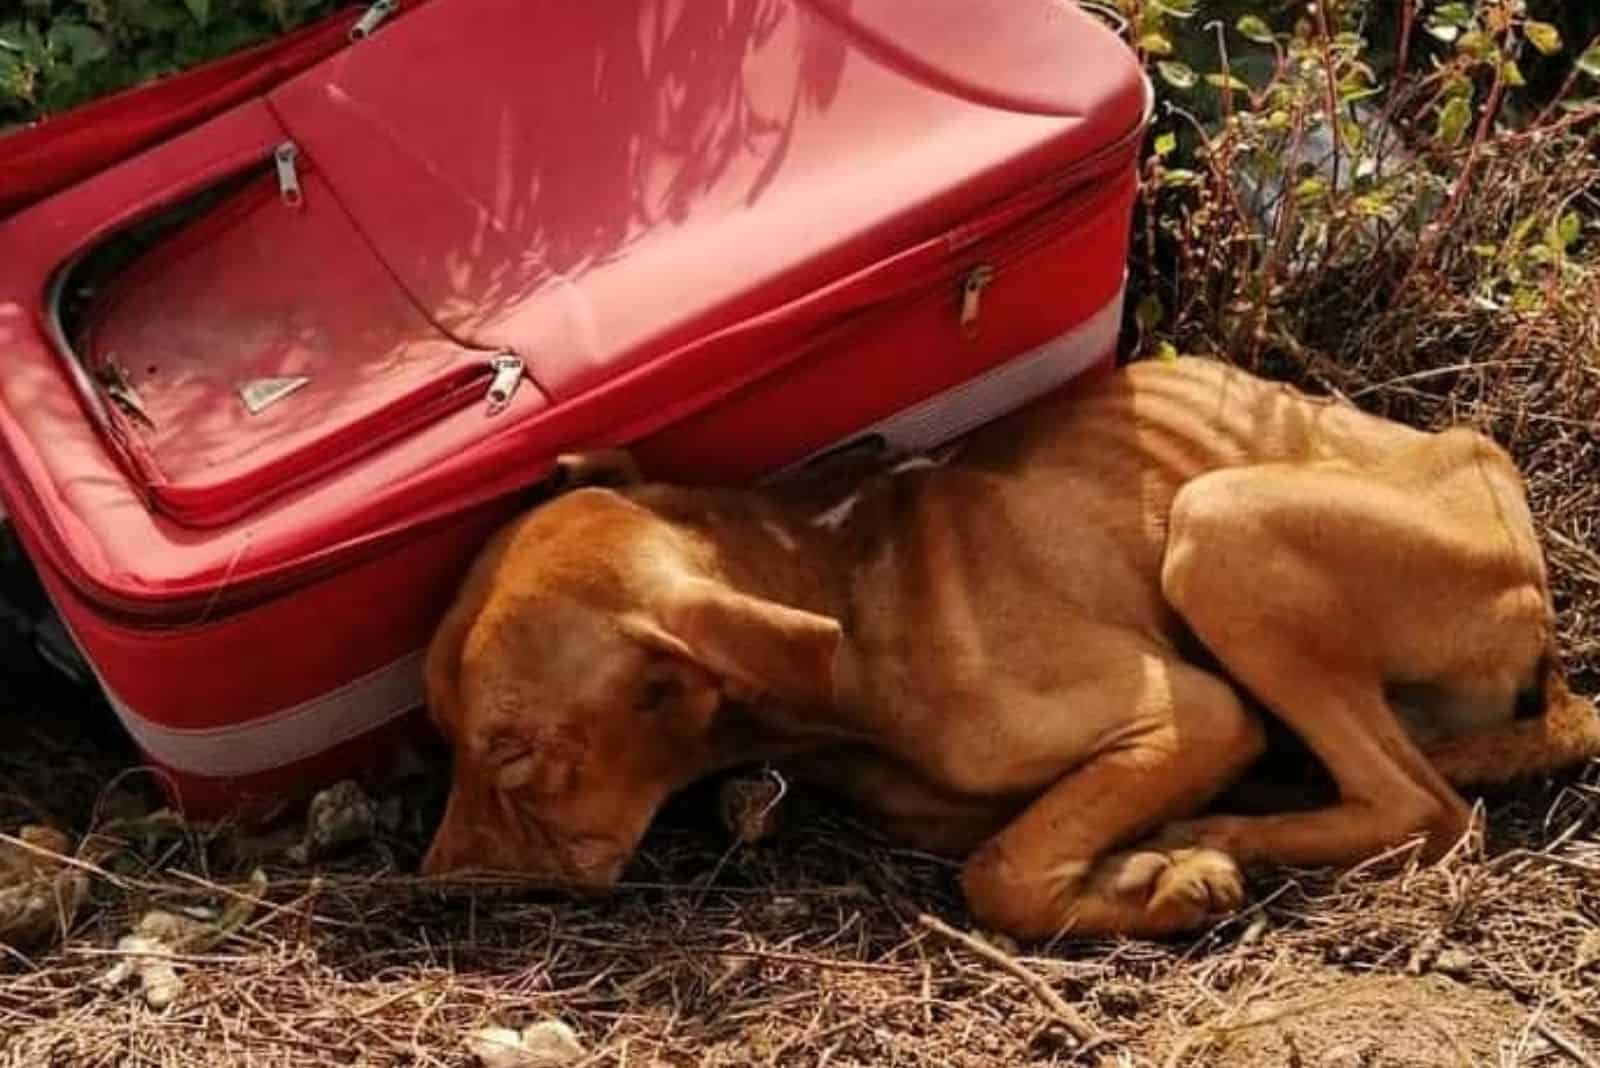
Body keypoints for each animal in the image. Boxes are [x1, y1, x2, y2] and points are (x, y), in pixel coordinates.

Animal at [422, 356, 1600, 933]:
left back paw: (1223, 827)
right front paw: (1140, 878)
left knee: (1423, 811)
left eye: (516, 757)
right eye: (443, 737)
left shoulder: (1191, 711)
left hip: (1216, 523)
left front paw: (1161, 878)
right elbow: (1011, 844)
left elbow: (998, 870)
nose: (431, 886)